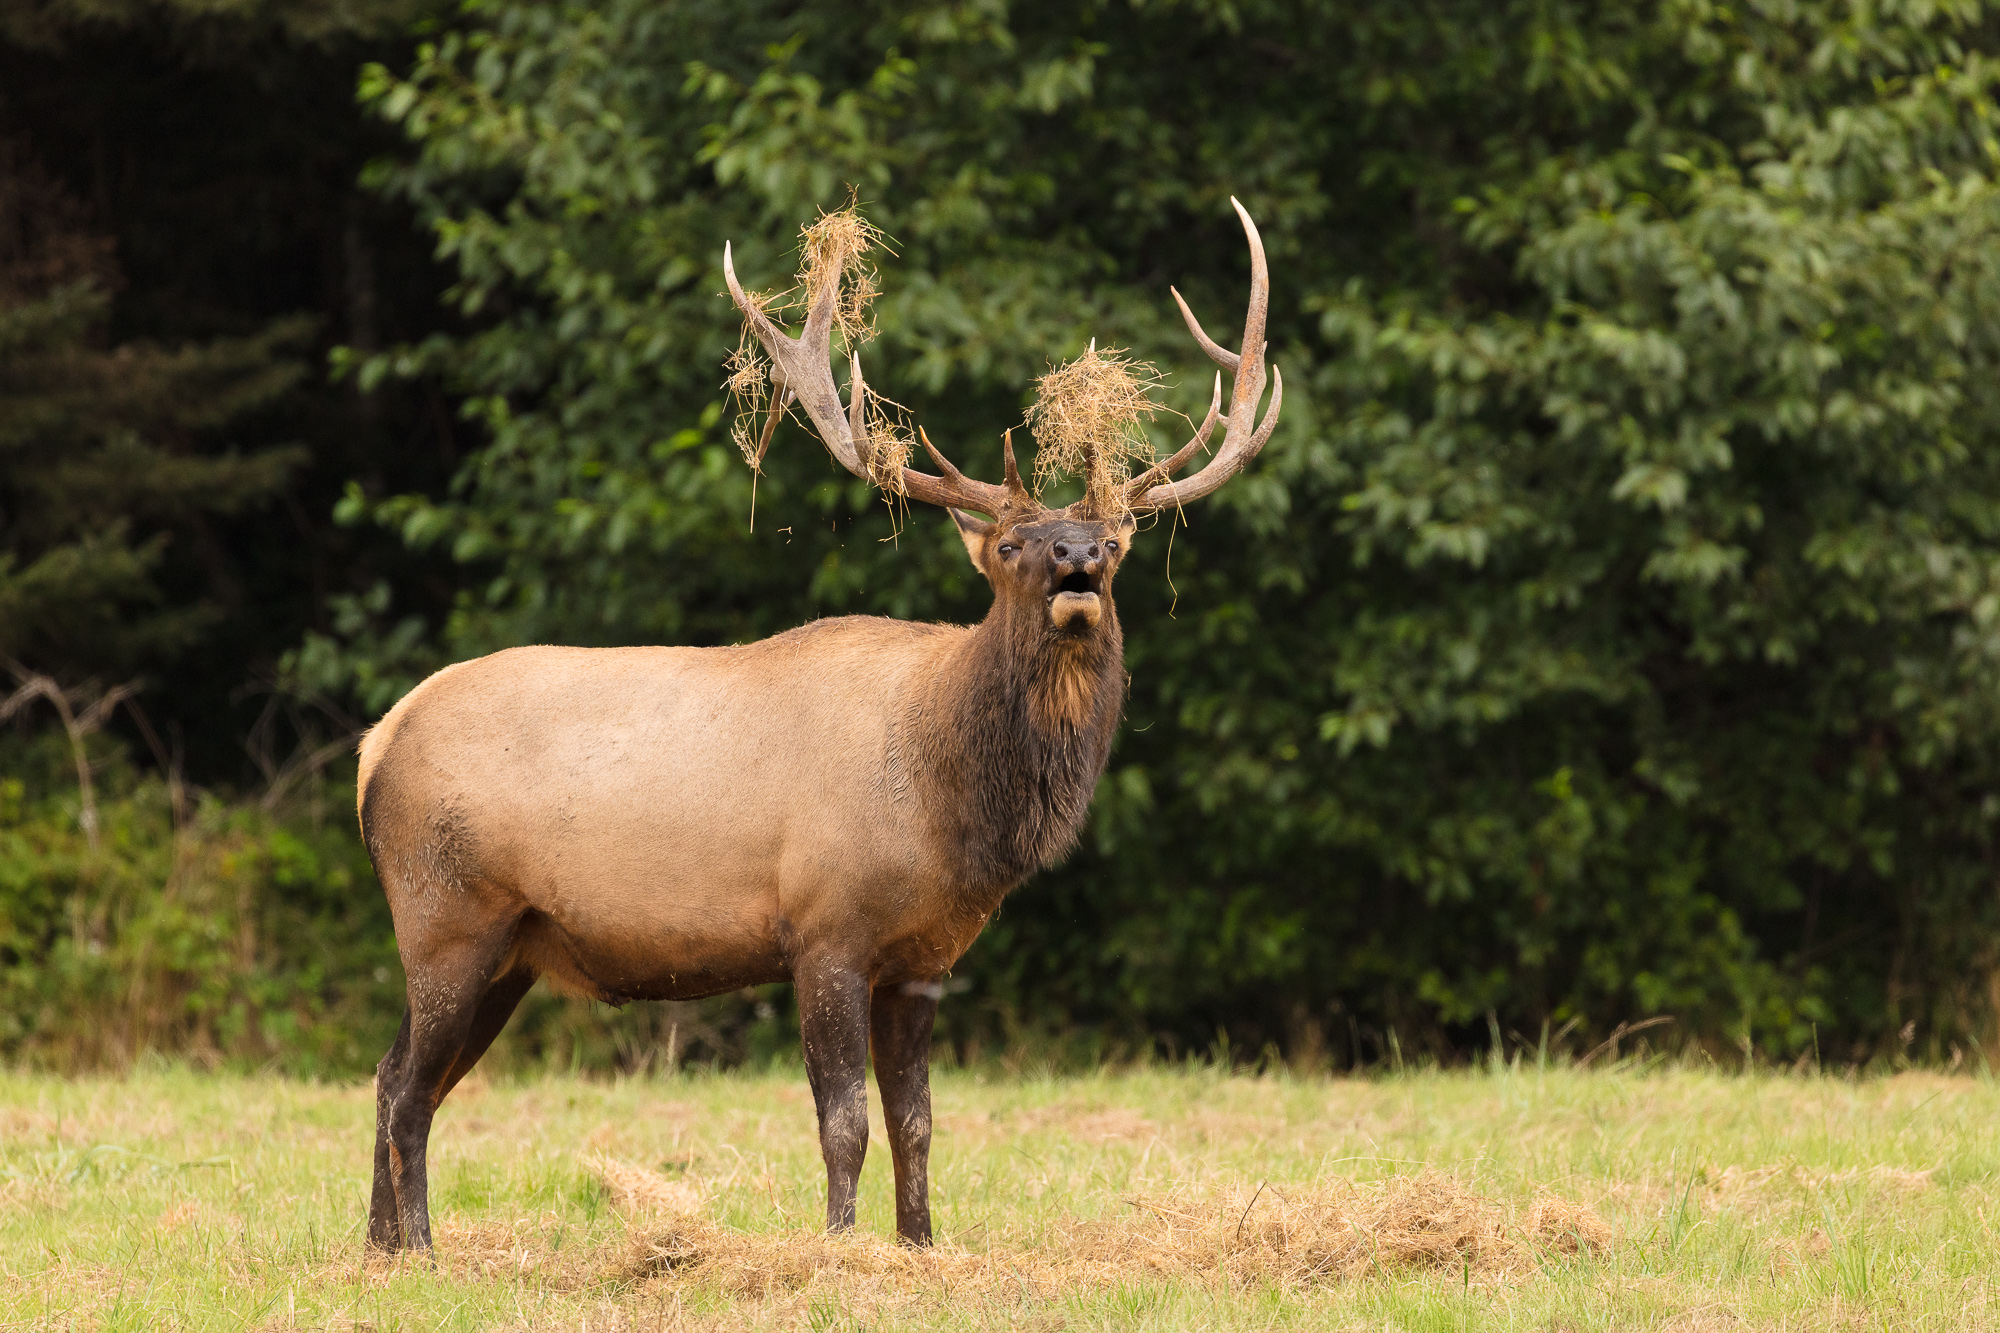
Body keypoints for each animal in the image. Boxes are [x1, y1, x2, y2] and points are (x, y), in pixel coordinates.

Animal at [364, 197, 1280, 1248]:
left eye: (1118, 544)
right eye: (1012, 544)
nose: (1077, 556)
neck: (949, 804)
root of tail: (375, 744)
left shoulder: (923, 959)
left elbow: (918, 1119)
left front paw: (920, 1243)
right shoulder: (824, 927)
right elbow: (844, 1119)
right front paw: (840, 1245)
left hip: (507, 943)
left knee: (393, 1075)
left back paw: (378, 1249)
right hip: (445, 913)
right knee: (409, 1090)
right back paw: (422, 1247)